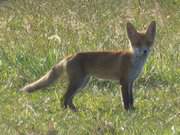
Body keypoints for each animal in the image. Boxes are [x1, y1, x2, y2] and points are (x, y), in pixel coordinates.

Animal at [20, 21, 156, 111]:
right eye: (137, 43)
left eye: (148, 43)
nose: (145, 51)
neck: (134, 61)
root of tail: (69, 56)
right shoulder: (123, 82)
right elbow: (126, 99)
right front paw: (127, 112)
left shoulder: (131, 82)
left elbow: (131, 98)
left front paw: (133, 109)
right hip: (77, 83)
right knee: (63, 98)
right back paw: (67, 112)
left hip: (82, 83)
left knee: (69, 99)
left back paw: (74, 110)